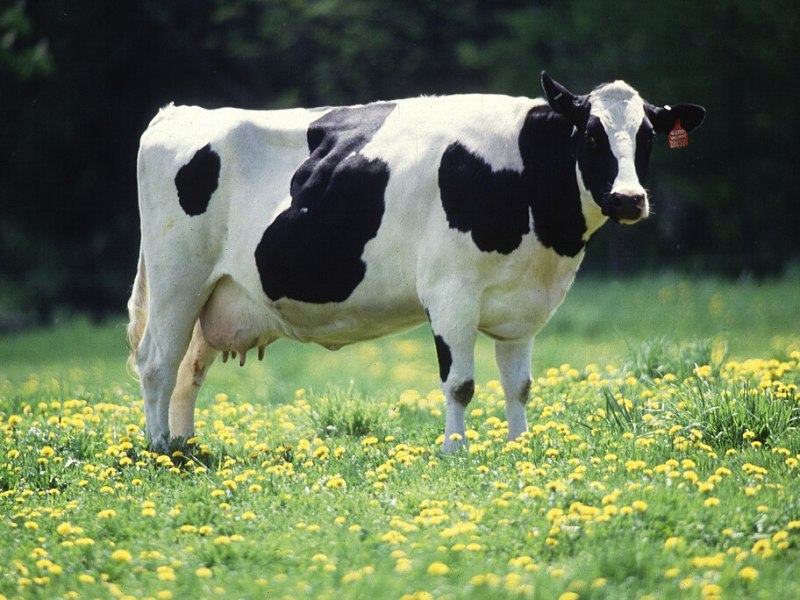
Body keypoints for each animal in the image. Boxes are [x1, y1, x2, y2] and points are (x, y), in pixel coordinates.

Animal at [127, 72, 705, 454]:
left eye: (647, 136)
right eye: (590, 134)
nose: (629, 199)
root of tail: (178, 112)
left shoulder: (523, 306)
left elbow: (518, 385)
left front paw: (519, 447)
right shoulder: (451, 293)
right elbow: (461, 383)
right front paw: (455, 452)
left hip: (214, 294)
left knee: (189, 370)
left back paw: (186, 446)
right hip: (177, 278)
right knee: (157, 362)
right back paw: (160, 450)